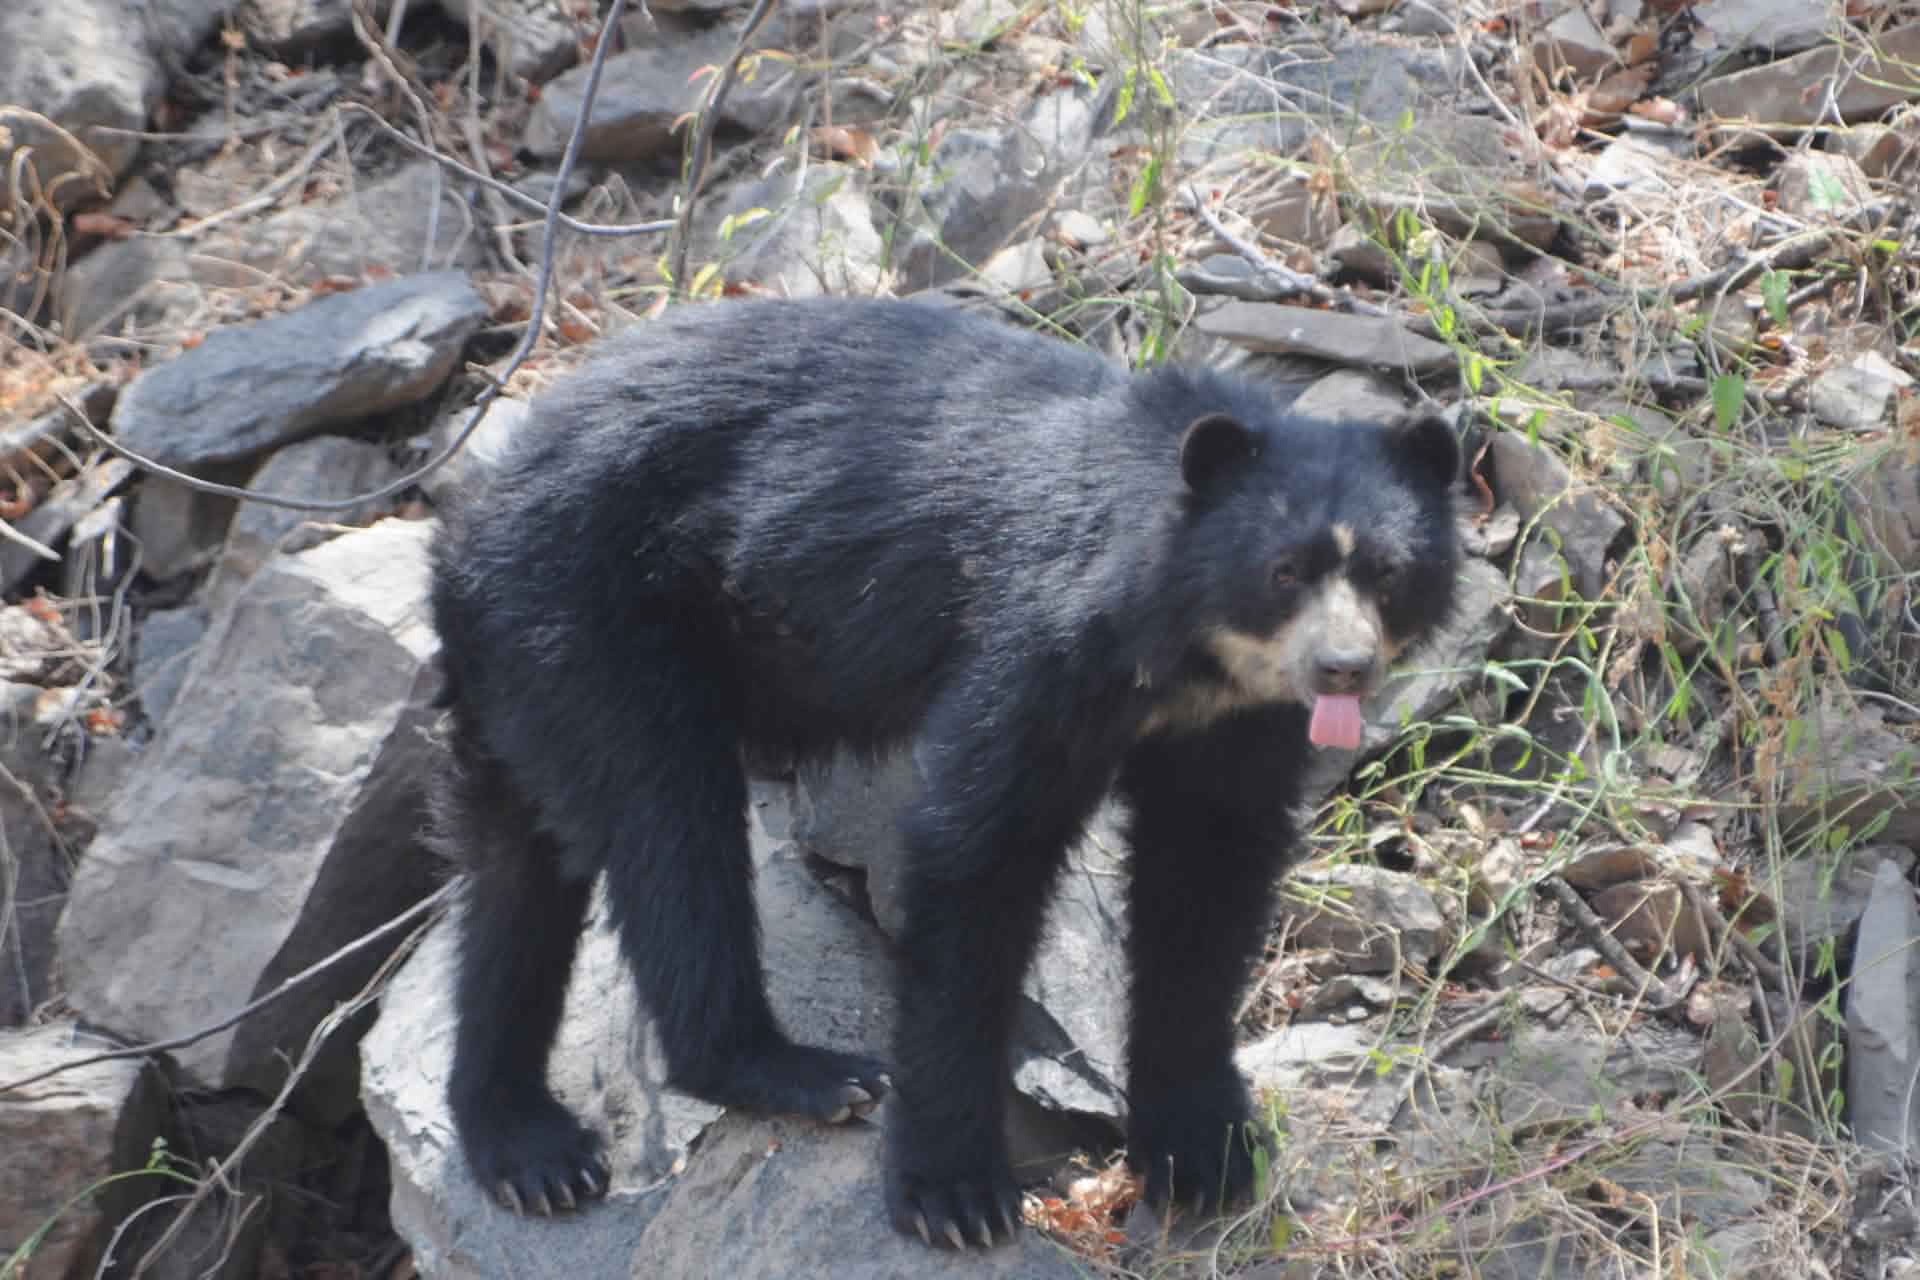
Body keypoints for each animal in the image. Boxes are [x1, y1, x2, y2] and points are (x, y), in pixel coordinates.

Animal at [427, 296, 1462, 1248]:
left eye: (1388, 572)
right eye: (1284, 571)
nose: (1343, 670)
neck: (1187, 655)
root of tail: (473, 506)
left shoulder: (1238, 721)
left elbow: (1208, 880)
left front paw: (1202, 1151)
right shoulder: (1040, 640)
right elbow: (978, 854)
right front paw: (955, 1194)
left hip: (524, 666)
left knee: (516, 878)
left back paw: (526, 1147)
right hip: (593, 615)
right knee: (667, 828)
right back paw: (796, 1071)